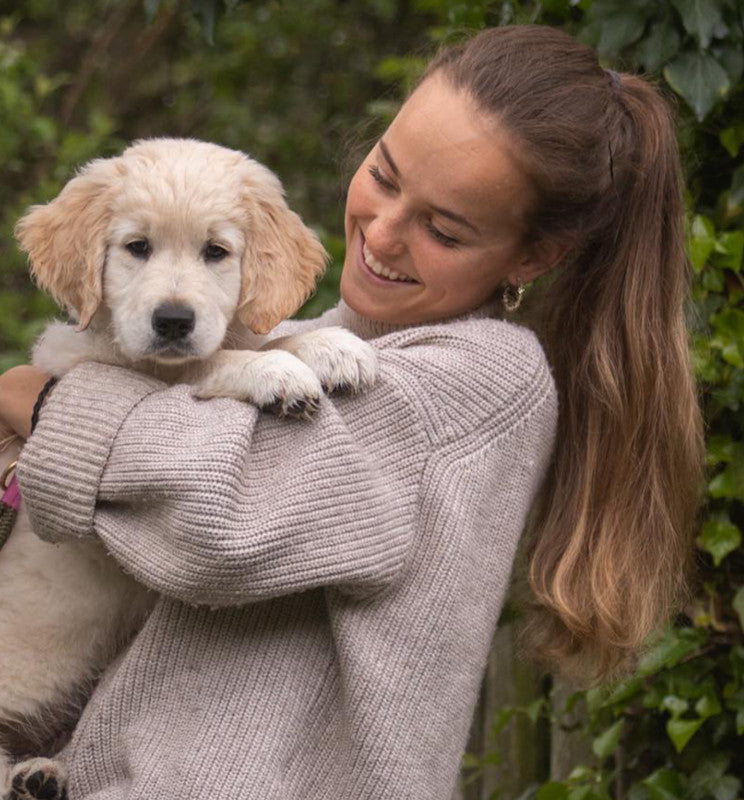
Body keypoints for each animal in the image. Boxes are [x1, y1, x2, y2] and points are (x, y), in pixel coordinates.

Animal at [0, 139, 374, 800]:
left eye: (215, 252)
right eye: (137, 247)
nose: (173, 320)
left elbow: (255, 338)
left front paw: (329, 348)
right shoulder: (113, 371)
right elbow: (213, 361)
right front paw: (276, 372)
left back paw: (38, 776)